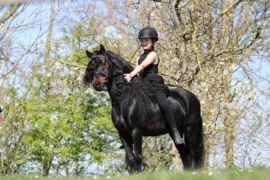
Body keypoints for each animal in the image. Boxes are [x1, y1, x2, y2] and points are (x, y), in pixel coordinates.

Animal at [83, 44, 204, 172]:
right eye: (91, 66)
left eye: (104, 63)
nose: (97, 84)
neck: (125, 97)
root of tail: (193, 97)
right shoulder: (122, 134)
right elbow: (130, 159)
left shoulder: (137, 131)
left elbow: (138, 157)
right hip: (176, 131)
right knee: (184, 154)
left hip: (191, 129)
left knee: (193, 154)